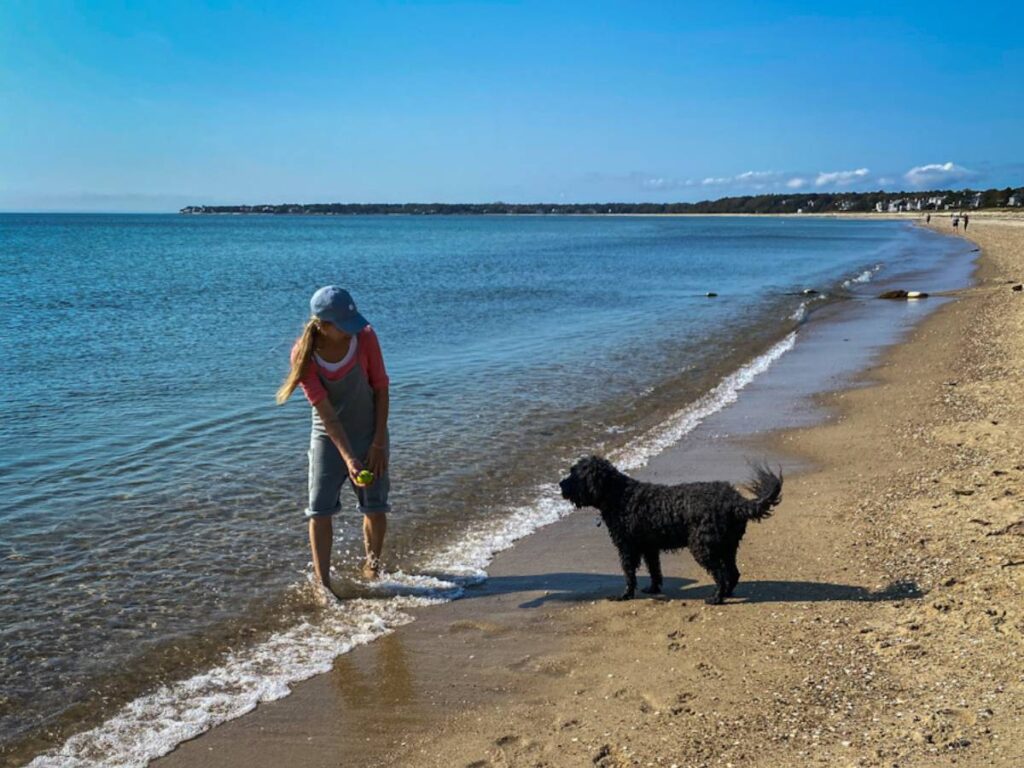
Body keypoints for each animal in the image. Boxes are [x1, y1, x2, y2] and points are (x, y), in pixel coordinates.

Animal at [561, 454, 782, 606]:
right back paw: (726, 593)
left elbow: (629, 574)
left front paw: (625, 595)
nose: (560, 484)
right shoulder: (649, 548)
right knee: (733, 573)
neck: (620, 496)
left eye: (574, 474)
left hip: (703, 547)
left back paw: (716, 598)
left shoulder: (627, 548)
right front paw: (652, 588)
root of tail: (736, 501)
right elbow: (654, 571)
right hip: (726, 546)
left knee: (720, 573)